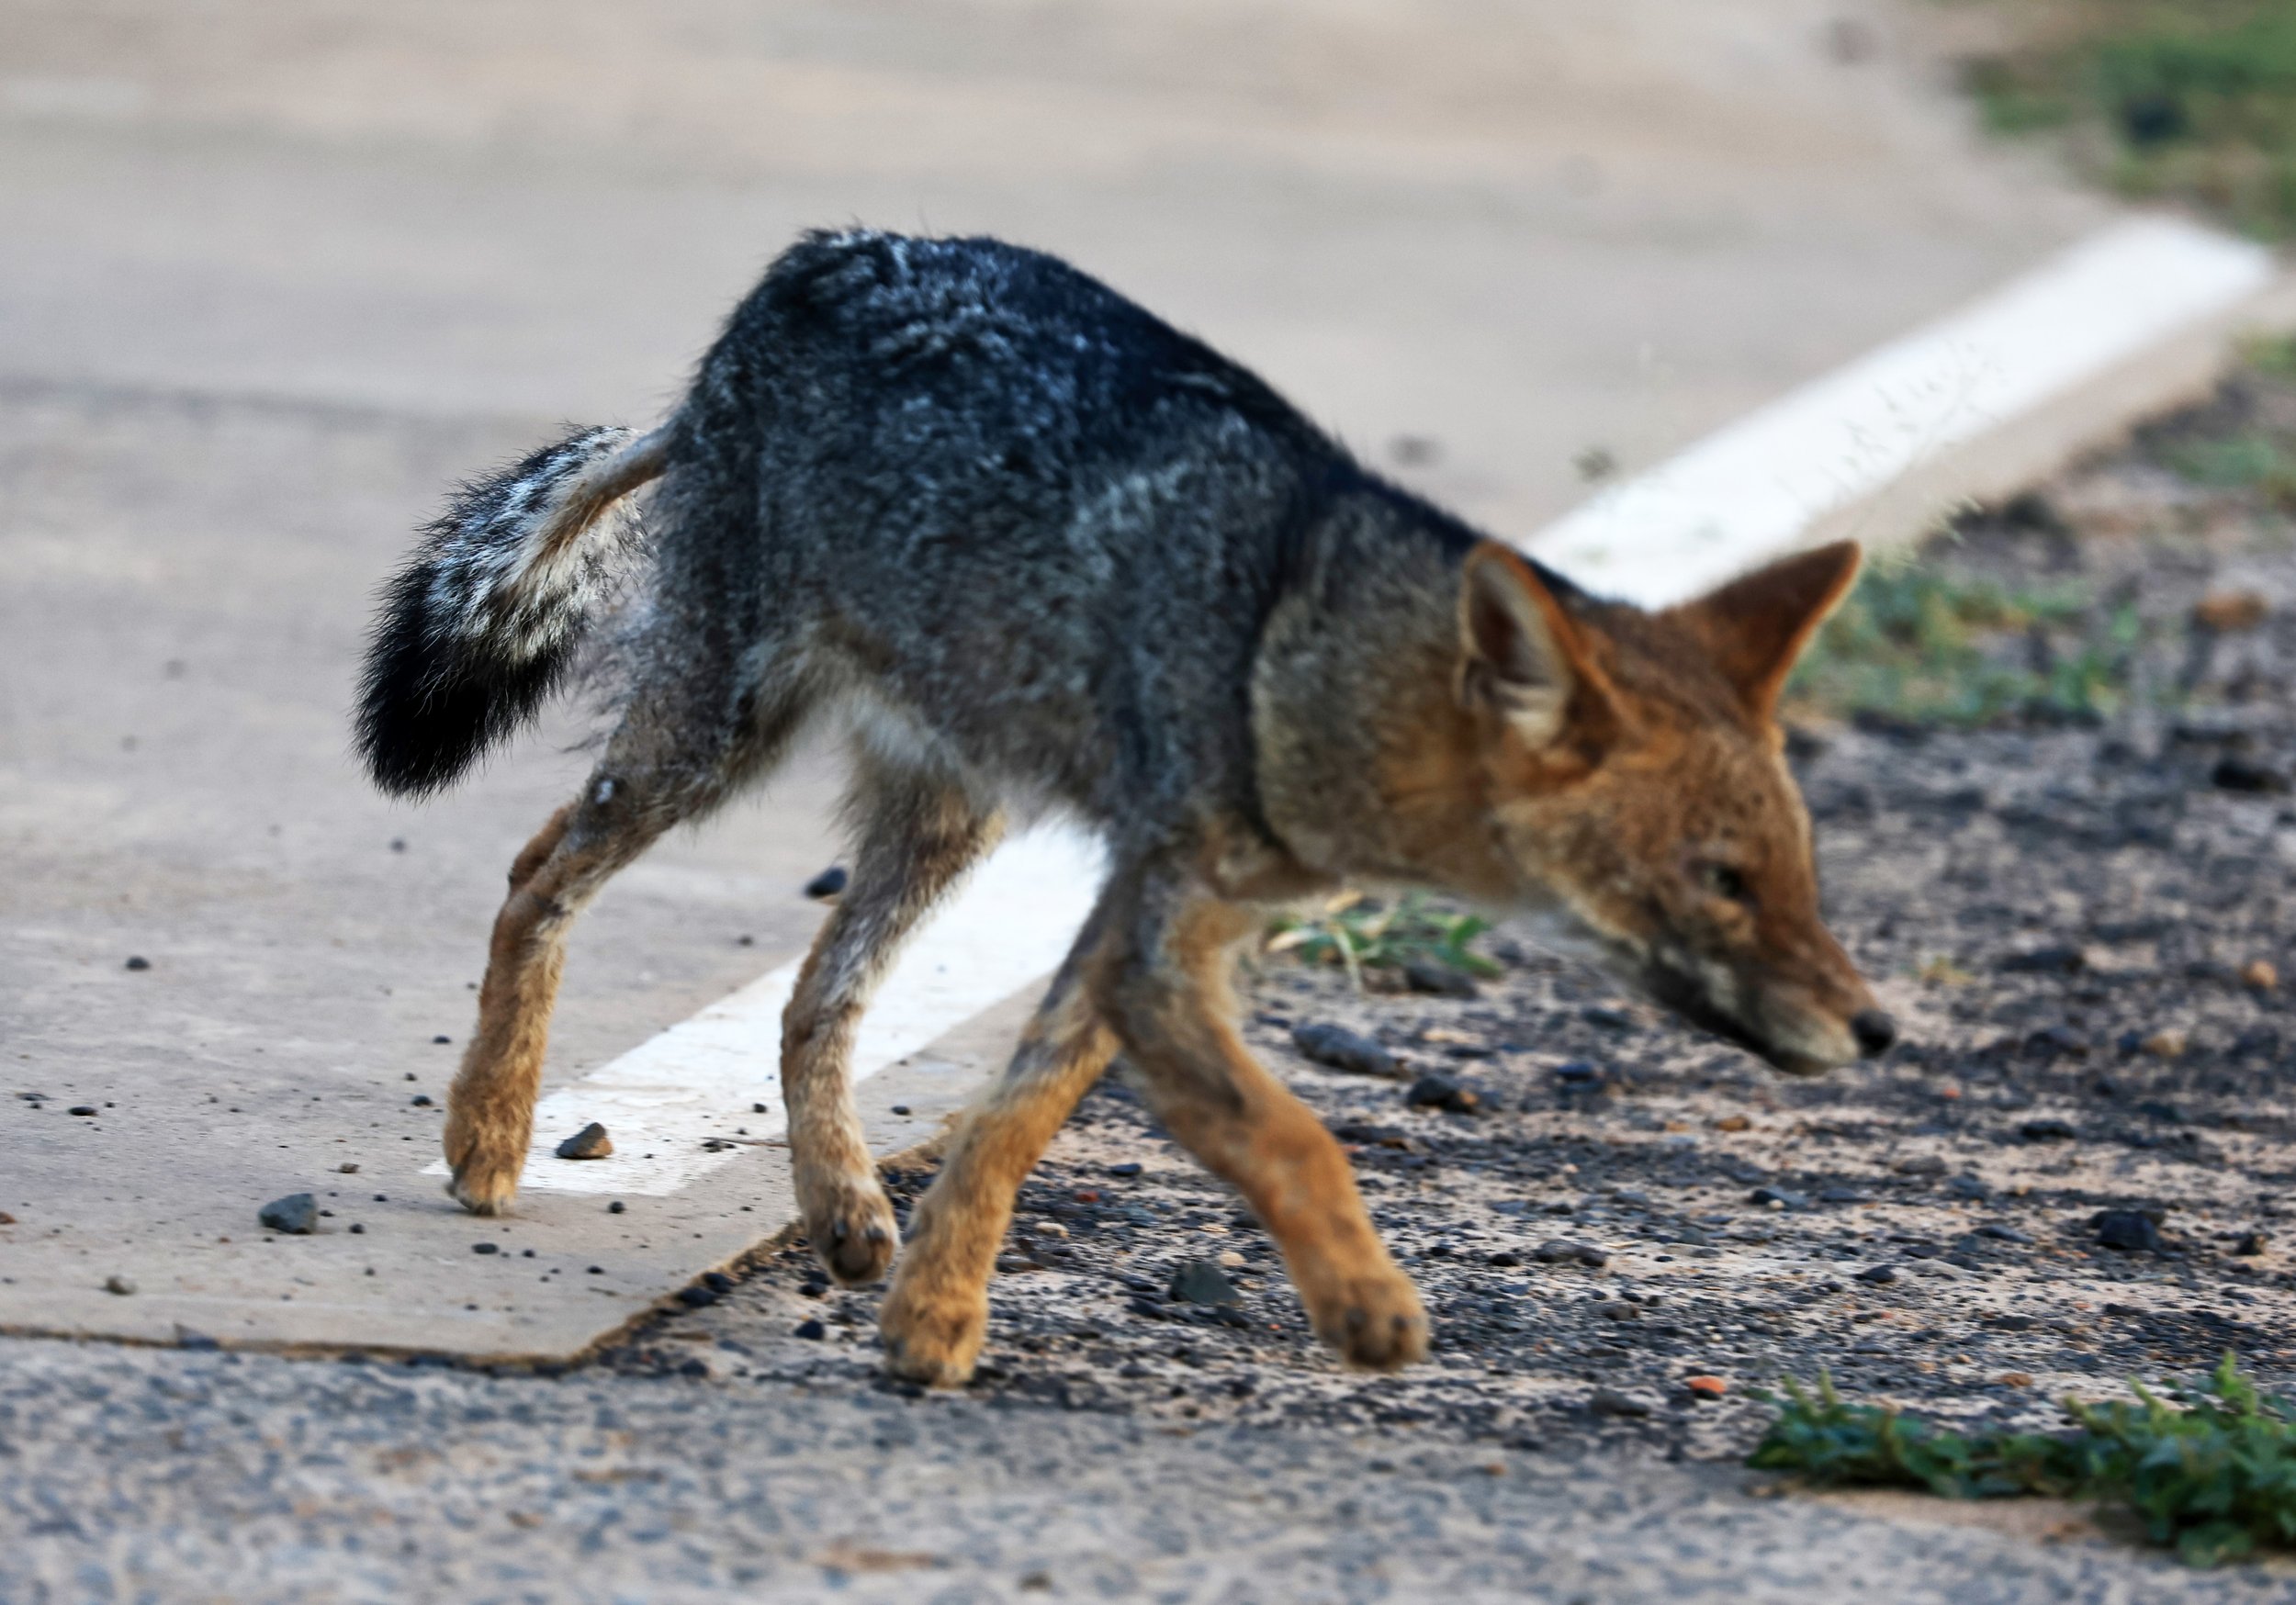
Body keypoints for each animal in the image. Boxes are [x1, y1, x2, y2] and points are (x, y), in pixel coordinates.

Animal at [357, 228, 1894, 1386]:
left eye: (1800, 869)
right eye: (1721, 880)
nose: (1878, 1031)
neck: (1283, 650)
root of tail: (785, 279)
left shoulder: (1155, 914)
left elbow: (1019, 1113)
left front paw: (933, 1313)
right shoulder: (1162, 931)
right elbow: (1291, 1132)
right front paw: (1364, 1305)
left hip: (949, 819)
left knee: (812, 998)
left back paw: (845, 1209)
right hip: (711, 744)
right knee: (536, 872)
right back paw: (487, 1139)